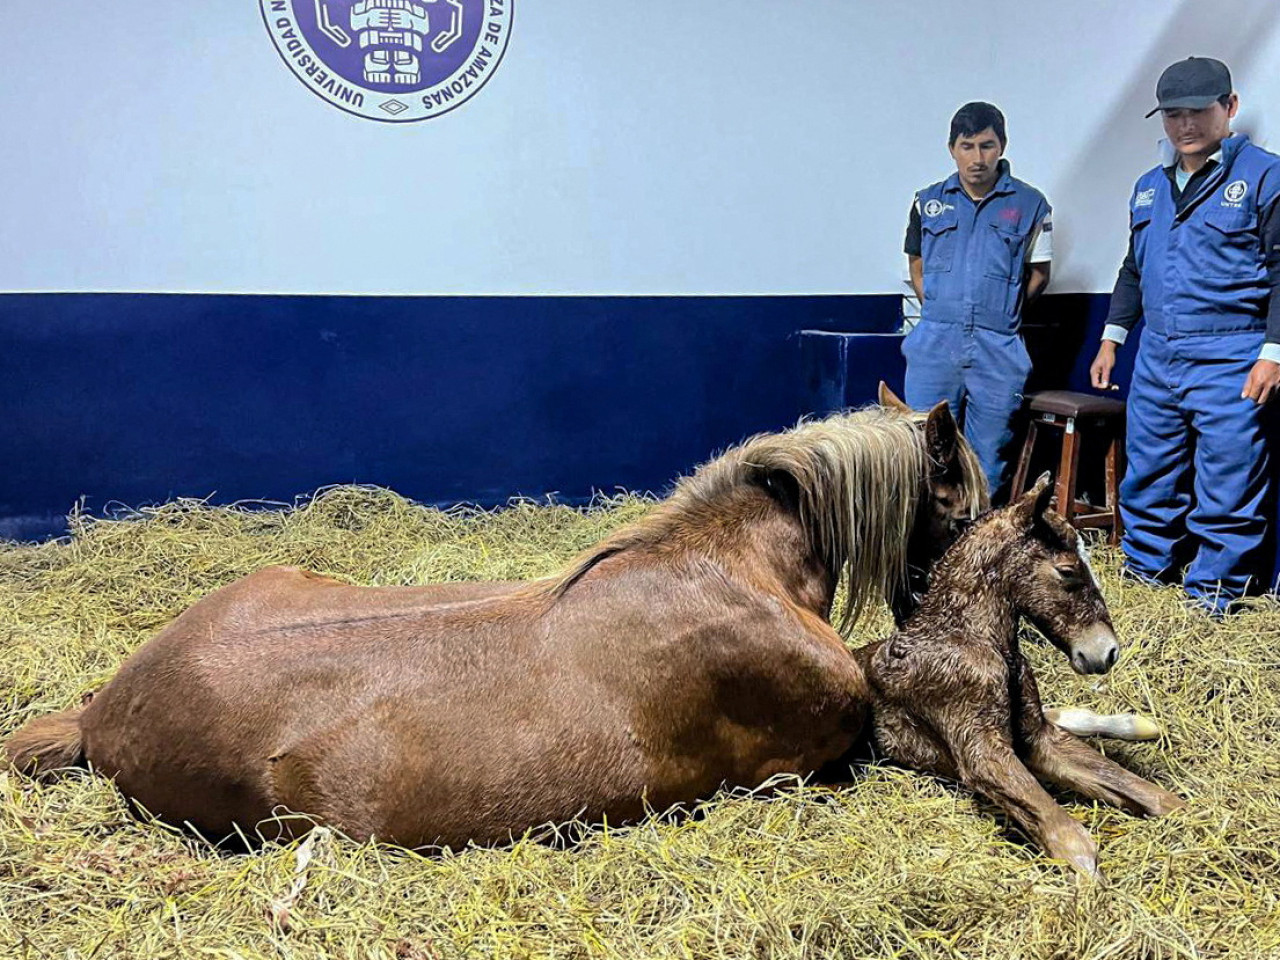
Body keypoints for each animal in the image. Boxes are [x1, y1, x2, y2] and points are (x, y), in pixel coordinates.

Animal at [855, 478, 1182, 875]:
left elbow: (1135, 786)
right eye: (1068, 570)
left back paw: (1140, 725)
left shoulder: (1037, 737)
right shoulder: (982, 752)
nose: (1106, 651)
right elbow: (1070, 837)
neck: (967, 637)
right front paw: (1088, 881)